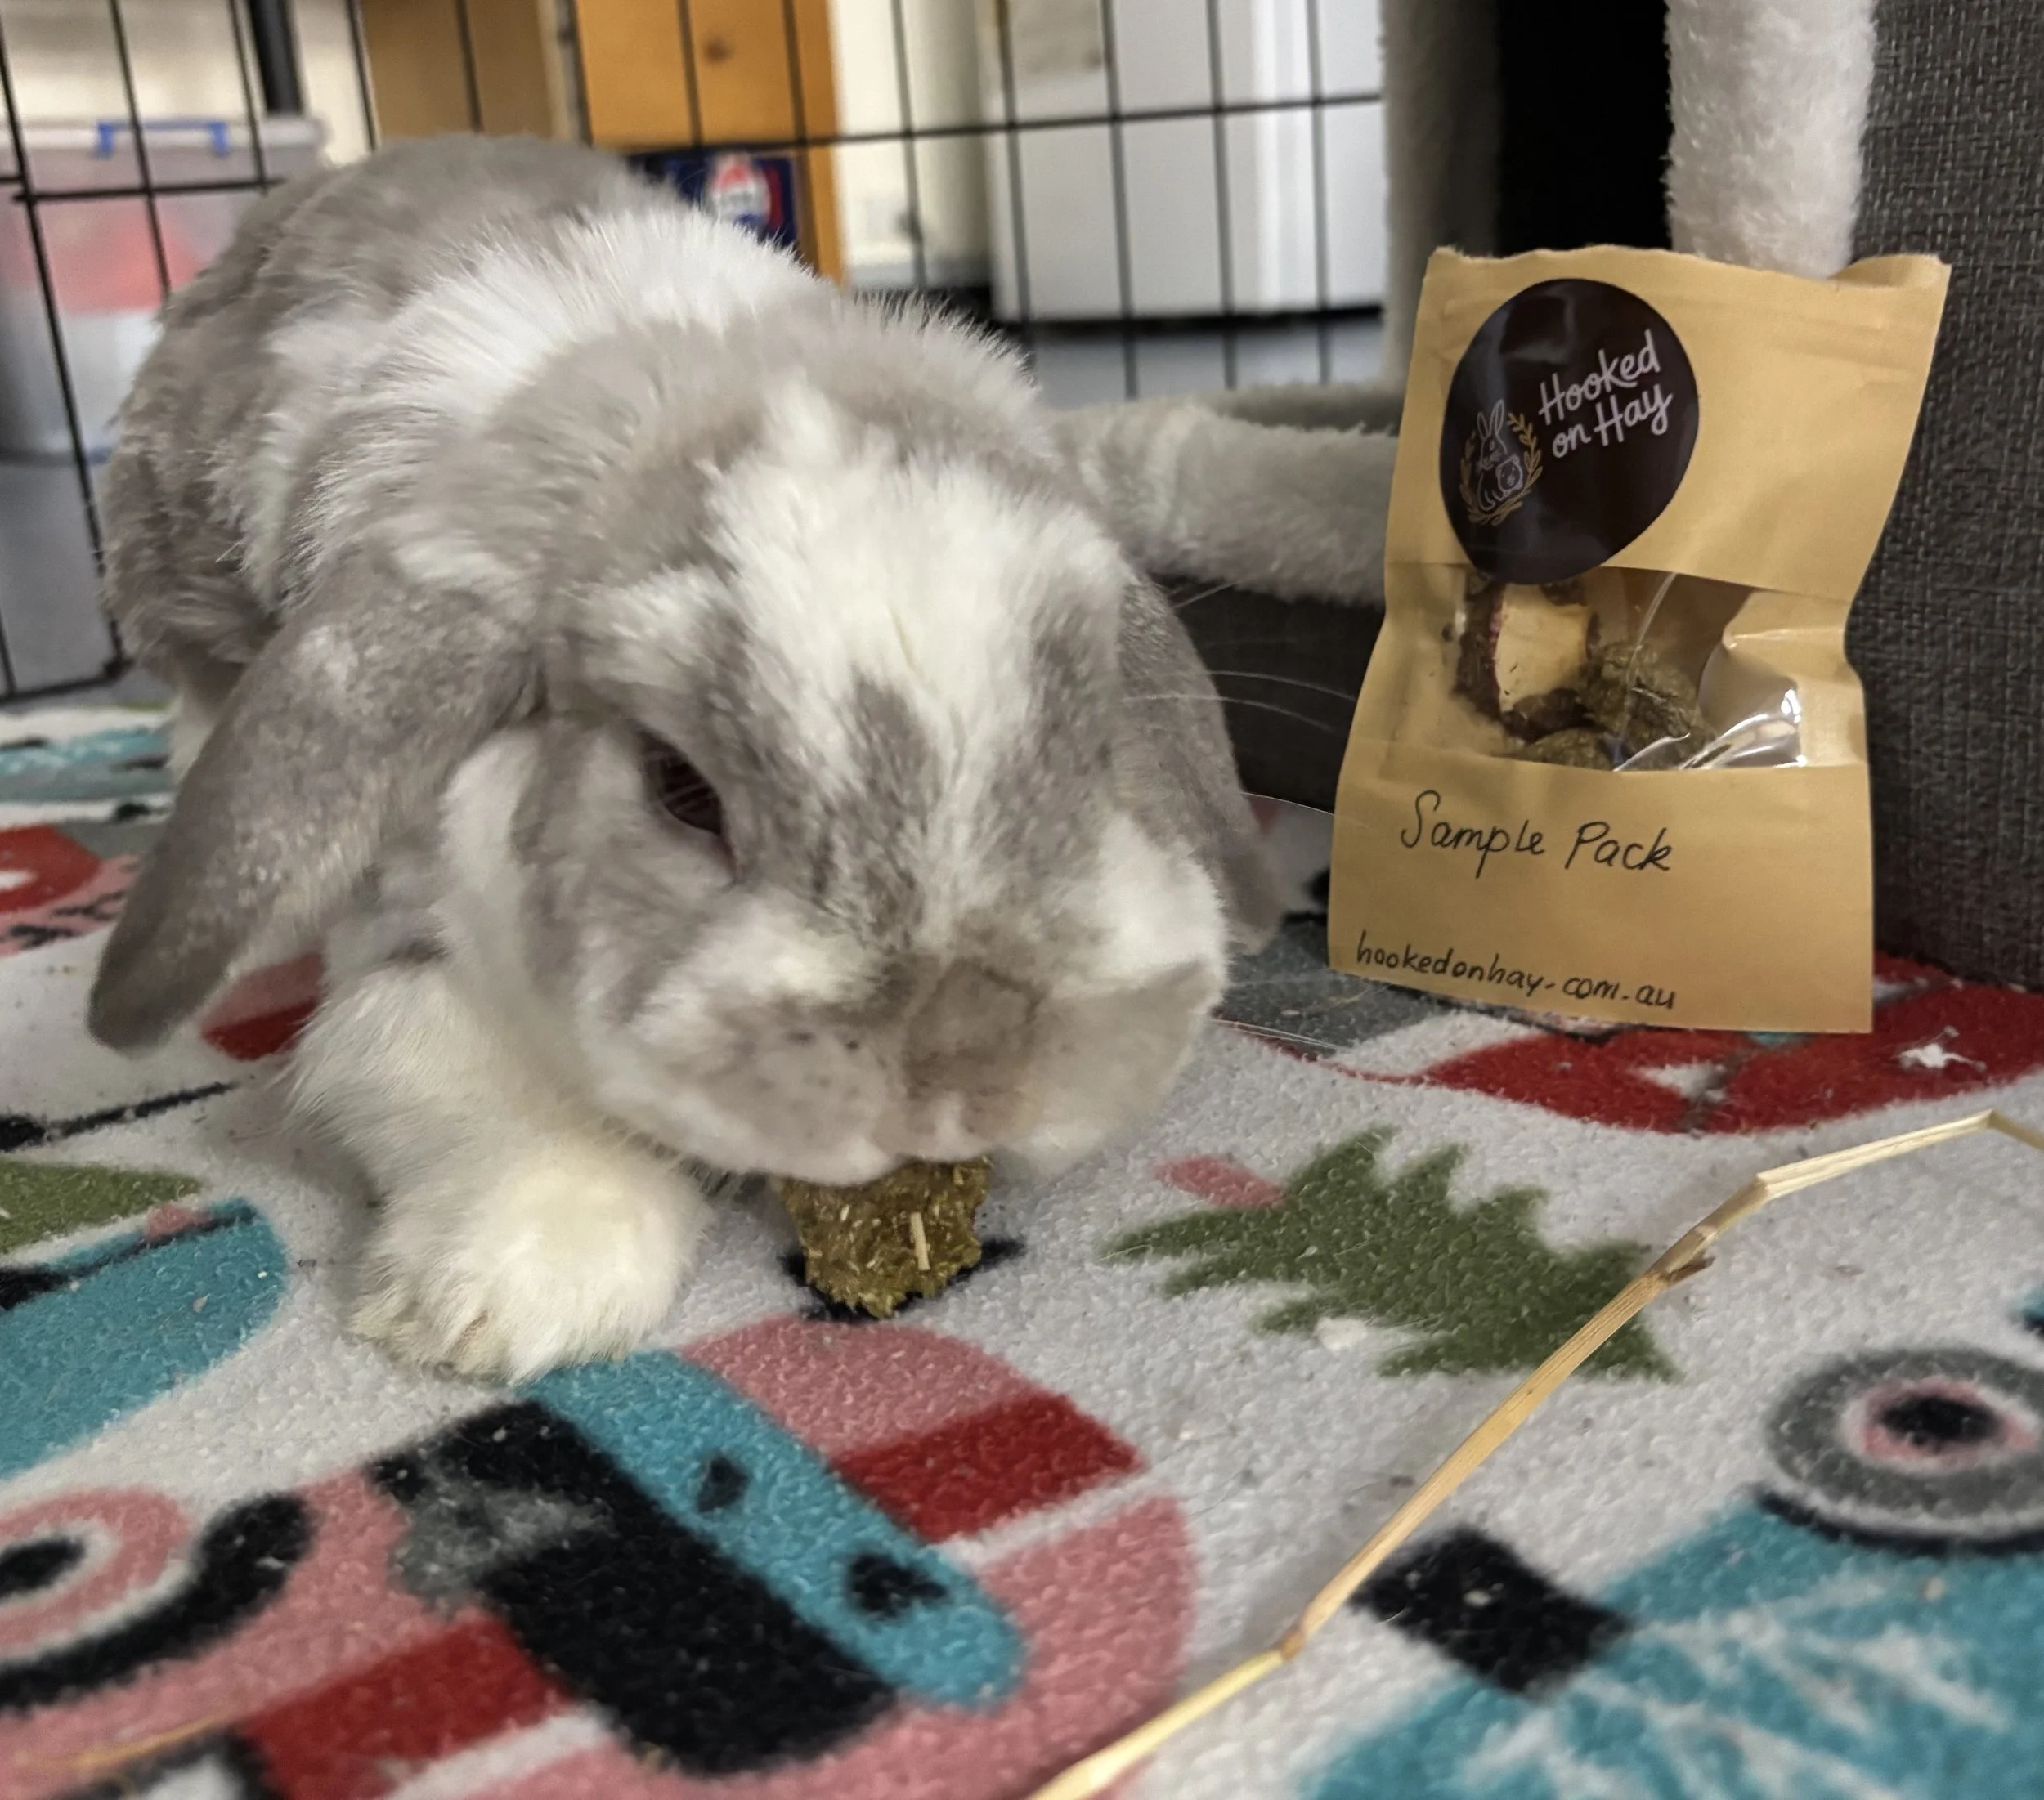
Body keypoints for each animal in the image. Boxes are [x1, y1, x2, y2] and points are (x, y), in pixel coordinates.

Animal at [85, 137, 1281, 1380]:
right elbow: (414, 1052)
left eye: (1095, 746)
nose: (960, 1082)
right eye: (681, 791)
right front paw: (513, 1294)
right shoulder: (400, 926)